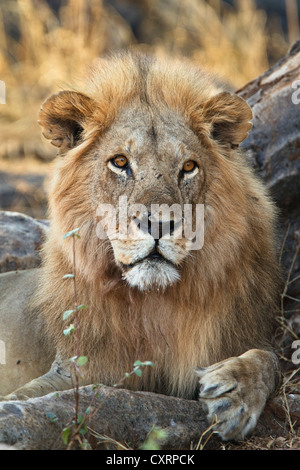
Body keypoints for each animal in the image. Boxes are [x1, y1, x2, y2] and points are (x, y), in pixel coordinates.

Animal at [0, 51, 282, 440]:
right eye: (120, 162)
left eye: (188, 167)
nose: (159, 224)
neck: (154, 307)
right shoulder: (71, 370)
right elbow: (24, 400)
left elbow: (270, 360)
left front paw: (235, 394)